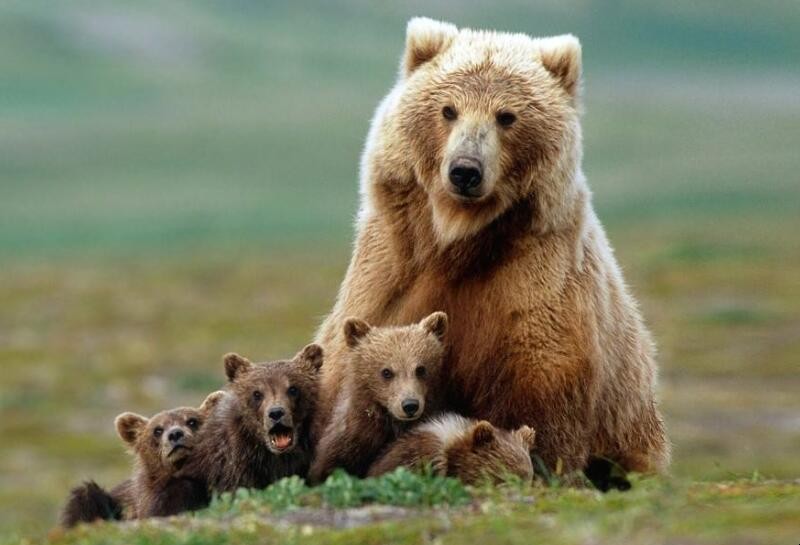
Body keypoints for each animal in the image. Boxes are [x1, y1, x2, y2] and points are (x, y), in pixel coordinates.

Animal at [314, 18, 668, 476]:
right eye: (448, 110)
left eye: (507, 116)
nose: (465, 170)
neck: (458, 239)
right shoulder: (390, 272)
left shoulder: (533, 285)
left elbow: (540, 398)